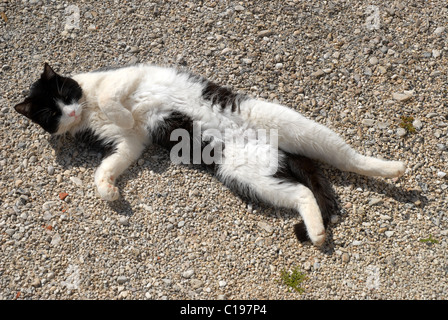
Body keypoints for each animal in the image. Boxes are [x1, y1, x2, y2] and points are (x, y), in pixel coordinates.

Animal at [13, 63, 406, 248]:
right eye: (51, 113)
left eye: (65, 93)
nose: (71, 112)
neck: (88, 107)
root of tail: (276, 147)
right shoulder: (130, 143)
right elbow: (109, 165)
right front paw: (108, 190)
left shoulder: (129, 76)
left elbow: (114, 98)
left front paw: (120, 110)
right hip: (245, 174)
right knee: (303, 193)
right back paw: (318, 231)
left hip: (288, 123)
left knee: (346, 157)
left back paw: (393, 169)